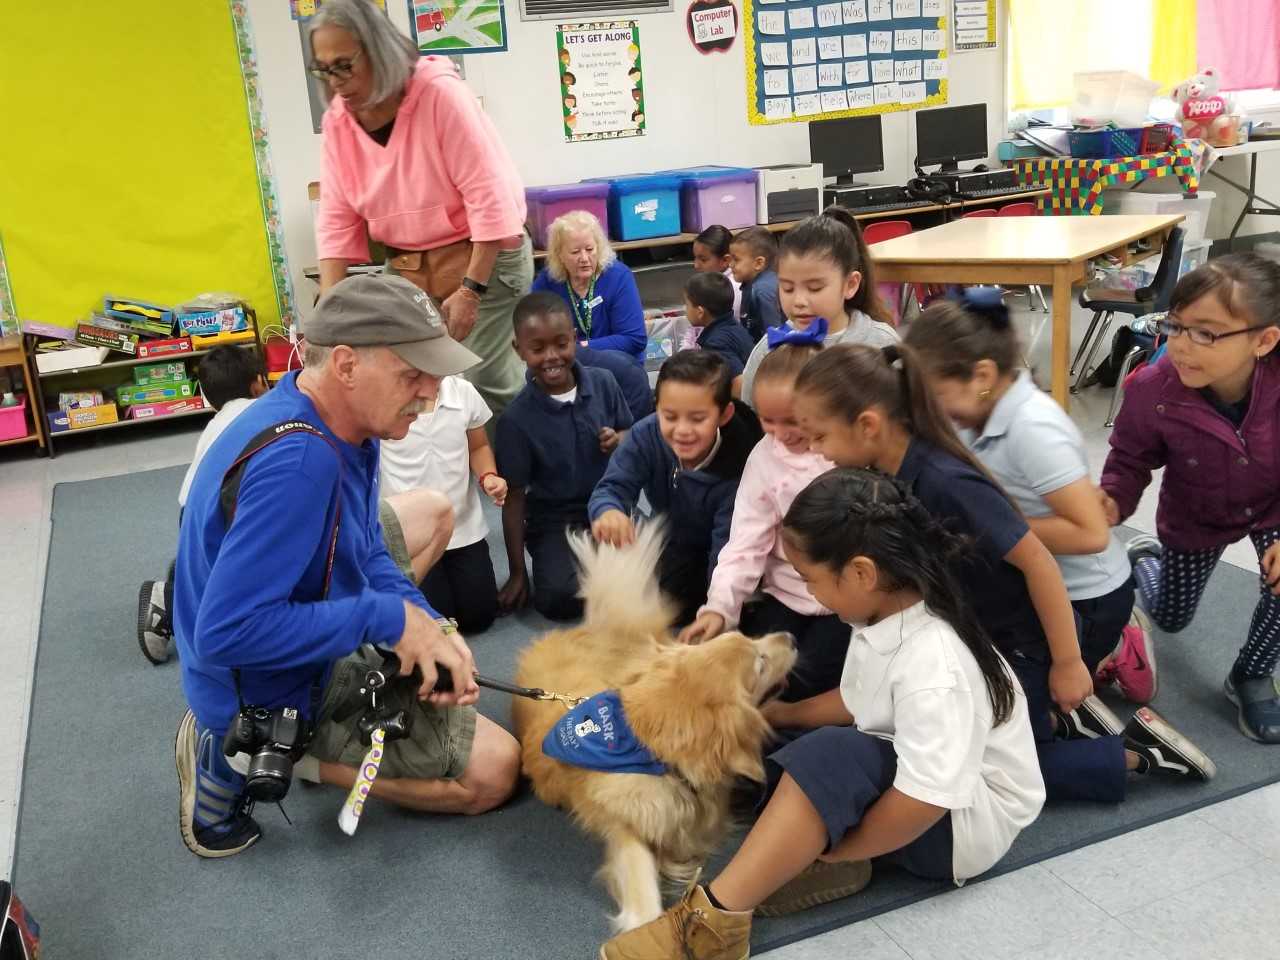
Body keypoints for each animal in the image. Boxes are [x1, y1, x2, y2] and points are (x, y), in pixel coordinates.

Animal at [512, 522, 793, 936]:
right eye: (759, 661)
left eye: (749, 637)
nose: (790, 637)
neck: (647, 746)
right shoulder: (624, 826)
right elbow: (642, 884)